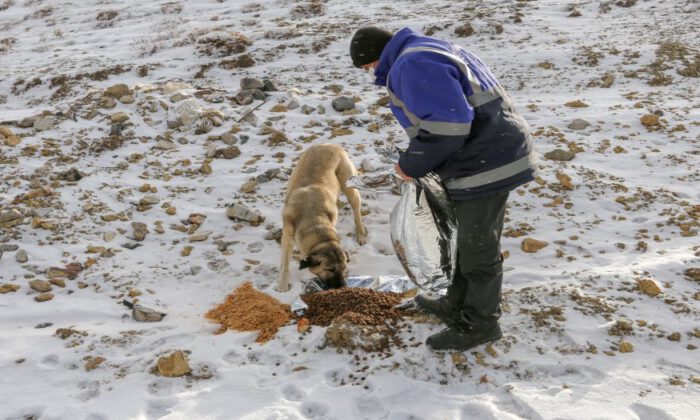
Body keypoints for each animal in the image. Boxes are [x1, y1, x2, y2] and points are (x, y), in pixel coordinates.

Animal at [276, 144, 370, 292]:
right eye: (330, 269)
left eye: (344, 268)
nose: (343, 286)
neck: (312, 219)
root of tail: (332, 145)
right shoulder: (287, 237)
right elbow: (285, 264)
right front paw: (283, 285)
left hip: (350, 188)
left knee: (356, 211)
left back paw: (360, 234)